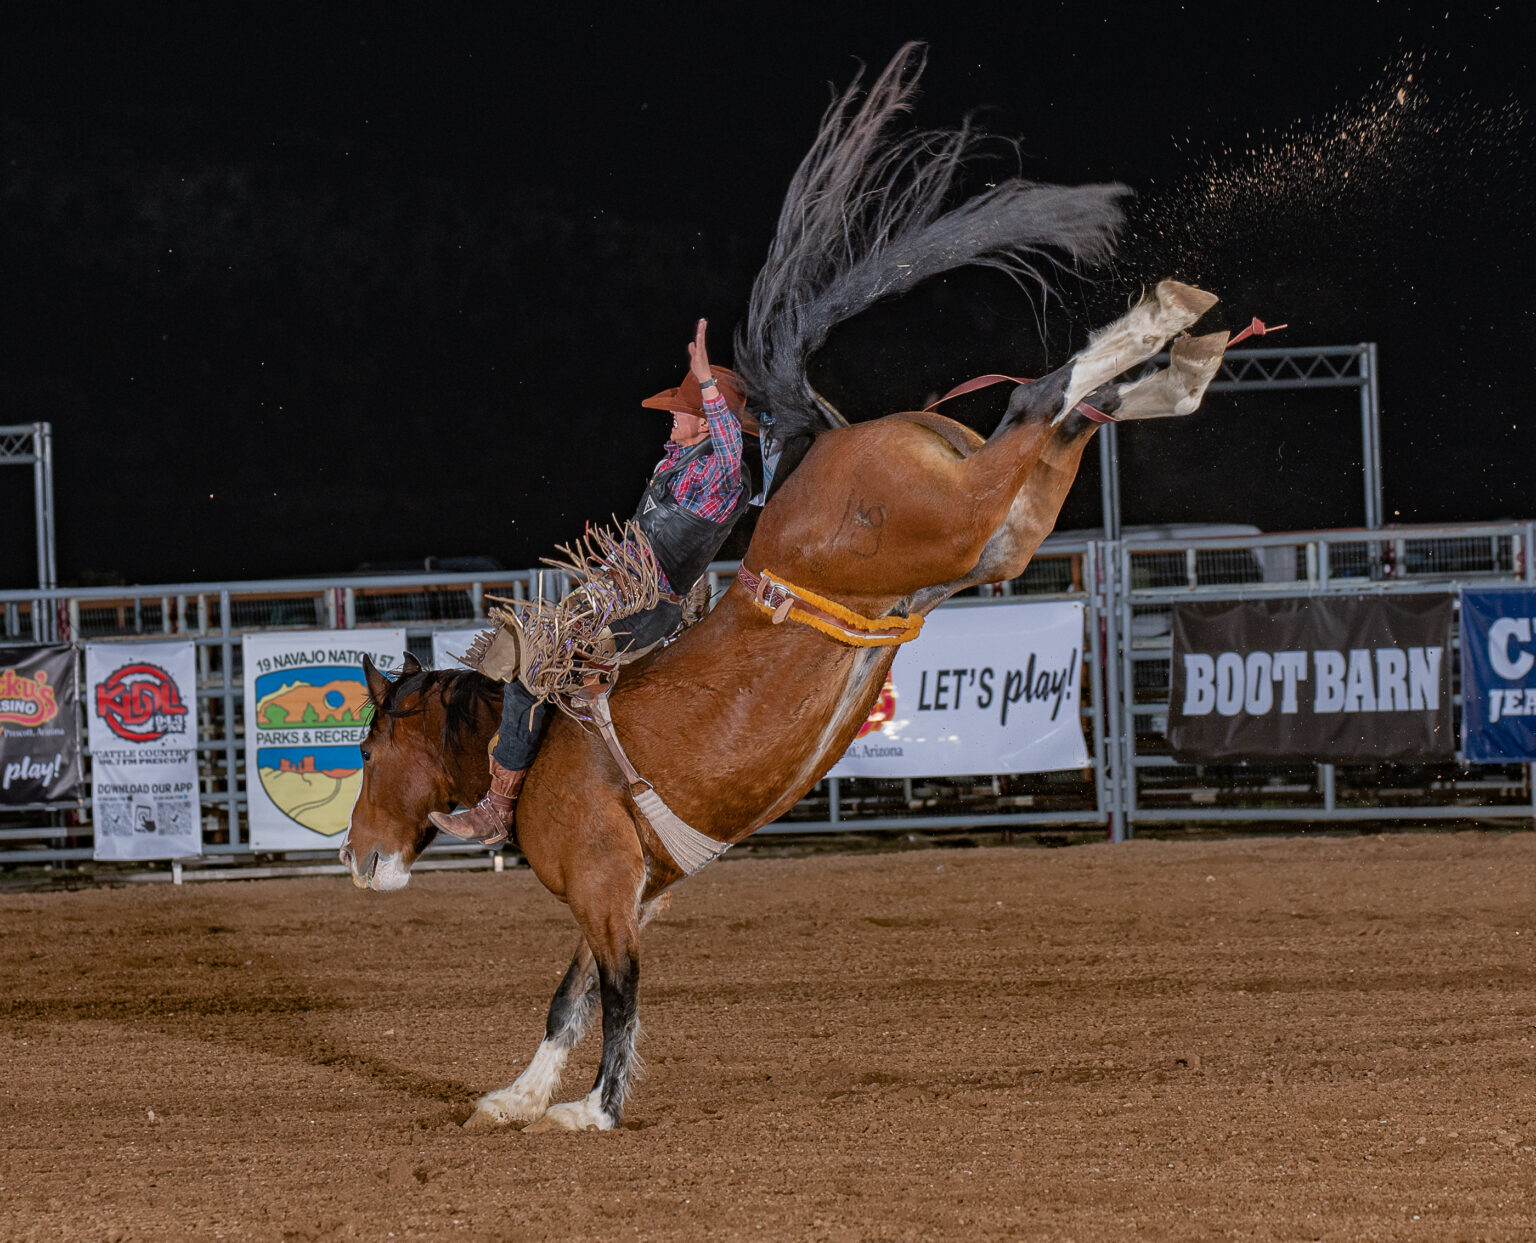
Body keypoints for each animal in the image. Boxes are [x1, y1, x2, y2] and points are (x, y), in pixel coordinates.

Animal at [342, 48, 1228, 1130]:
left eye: (370, 748)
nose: (352, 856)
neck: (542, 748)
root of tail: (831, 428)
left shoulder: (604, 885)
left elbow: (618, 995)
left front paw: (594, 1110)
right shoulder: (636, 890)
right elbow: (569, 994)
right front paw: (519, 1095)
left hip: (959, 518)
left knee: (1040, 398)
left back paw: (1168, 316)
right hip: (997, 537)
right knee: (1052, 417)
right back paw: (1184, 361)